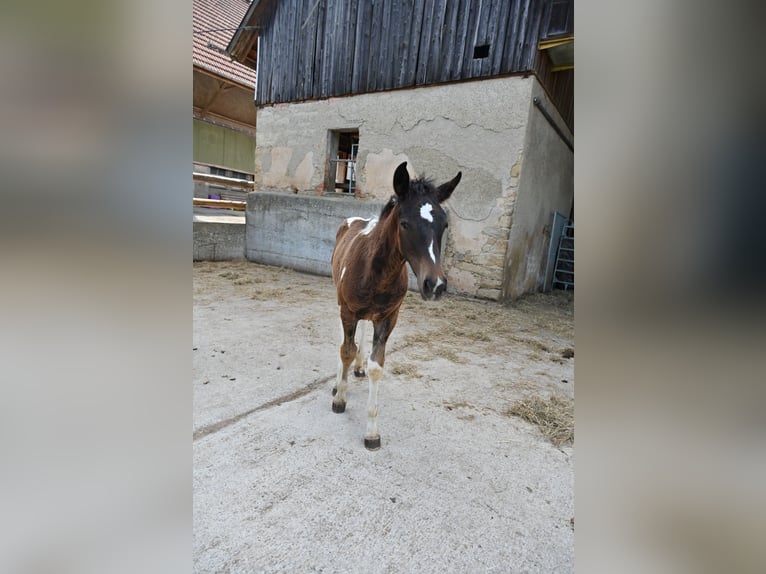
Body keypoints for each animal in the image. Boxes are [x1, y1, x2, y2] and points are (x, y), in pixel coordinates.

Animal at [330, 161, 462, 450]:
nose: (435, 285)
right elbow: (345, 350)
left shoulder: (389, 317)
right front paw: (339, 398)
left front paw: (372, 433)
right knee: (344, 343)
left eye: (444, 224)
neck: (375, 272)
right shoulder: (347, 310)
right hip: (341, 302)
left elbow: (376, 366)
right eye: (404, 223)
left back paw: (358, 367)